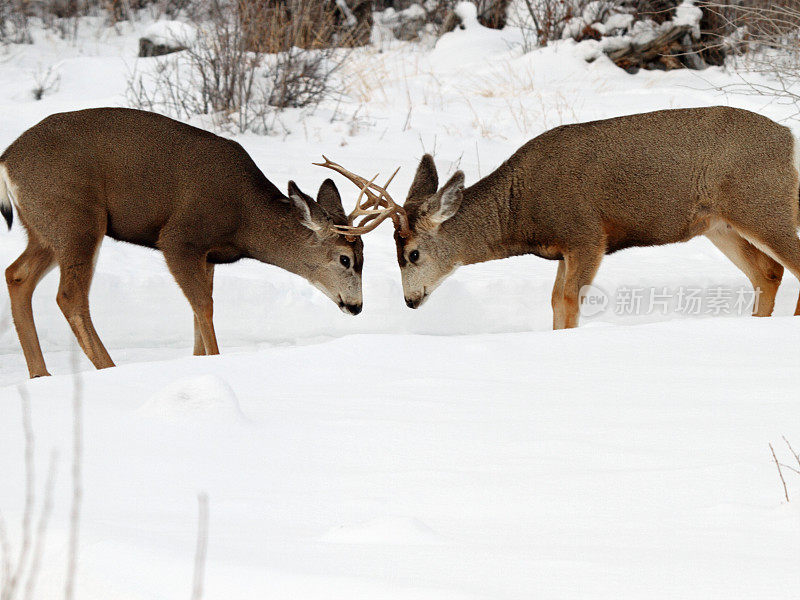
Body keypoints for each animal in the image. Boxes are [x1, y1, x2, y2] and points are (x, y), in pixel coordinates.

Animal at [1, 108, 366, 378]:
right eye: (345, 258)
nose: (357, 306)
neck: (245, 218)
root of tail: (7, 160)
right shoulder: (180, 237)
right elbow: (204, 306)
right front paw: (216, 362)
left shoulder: (209, 255)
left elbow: (196, 313)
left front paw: (197, 360)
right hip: (77, 217)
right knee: (69, 296)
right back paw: (108, 369)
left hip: (44, 229)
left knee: (17, 275)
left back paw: (40, 374)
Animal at [324, 106, 800, 328]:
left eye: (414, 255)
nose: (410, 300)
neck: (523, 212)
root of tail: (788, 138)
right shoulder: (562, 250)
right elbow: (555, 301)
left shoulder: (587, 234)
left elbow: (571, 301)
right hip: (720, 224)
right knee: (768, 273)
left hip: (763, 202)